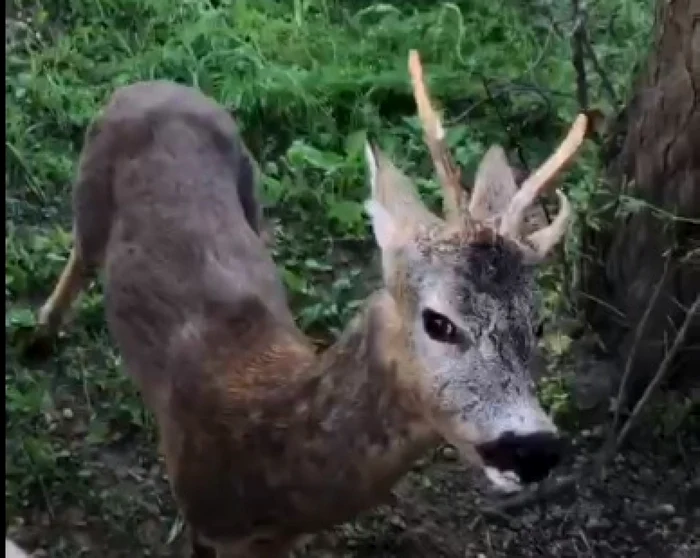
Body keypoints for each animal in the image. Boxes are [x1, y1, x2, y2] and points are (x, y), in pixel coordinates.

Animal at [38, 50, 596, 556]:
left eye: (538, 324)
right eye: (438, 321)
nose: (534, 449)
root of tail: (149, 85)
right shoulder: (199, 518)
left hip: (251, 192)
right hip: (89, 192)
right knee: (80, 257)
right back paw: (40, 334)